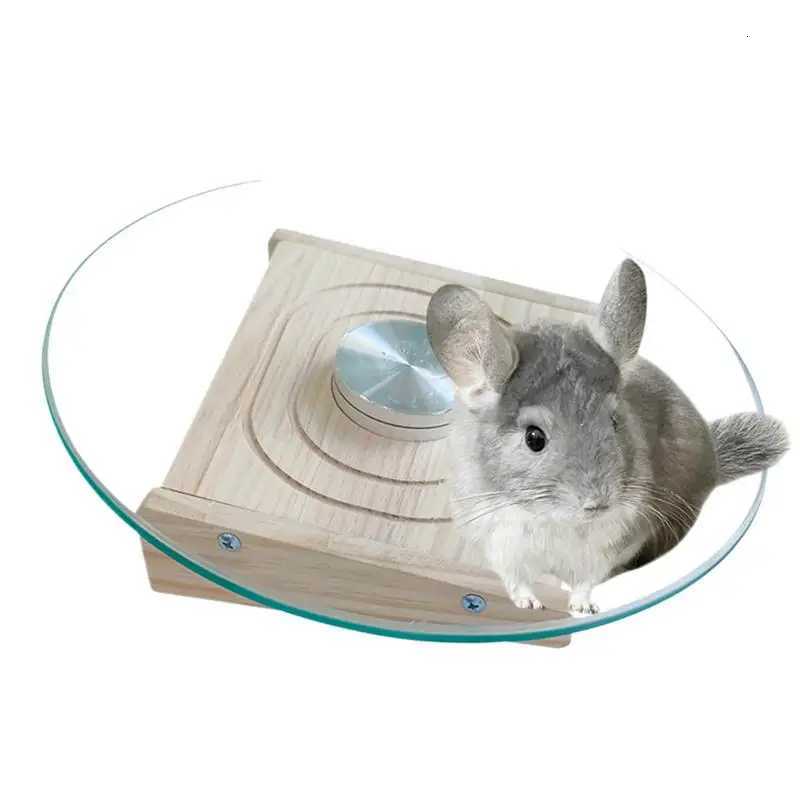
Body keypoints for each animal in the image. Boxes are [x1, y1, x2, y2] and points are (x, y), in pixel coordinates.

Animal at [426, 260, 789, 615]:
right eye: (534, 438)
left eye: (614, 421)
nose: (598, 503)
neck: (554, 519)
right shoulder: (498, 542)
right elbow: (516, 579)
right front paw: (529, 603)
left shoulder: (611, 546)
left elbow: (586, 581)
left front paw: (584, 607)